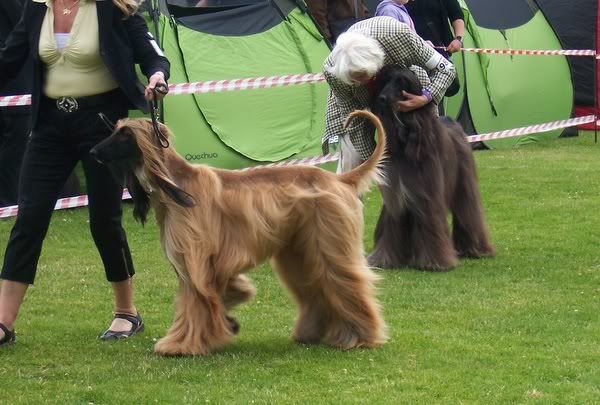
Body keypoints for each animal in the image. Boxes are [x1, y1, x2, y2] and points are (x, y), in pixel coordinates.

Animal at [90, 110, 388, 356]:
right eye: (114, 129)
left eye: (125, 134)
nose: (92, 152)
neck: (176, 185)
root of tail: (340, 179)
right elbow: (223, 292)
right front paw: (228, 317)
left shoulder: (195, 259)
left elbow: (196, 301)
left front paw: (181, 345)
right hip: (299, 248)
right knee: (314, 286)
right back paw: (314, 333)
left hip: (328, 241)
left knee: (346, 280)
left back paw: (361, 336)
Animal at [367, 64, 495, 271]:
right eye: (385, 80)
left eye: (401, 82)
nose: (382, 98)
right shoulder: (396, 195)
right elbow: (391, 225)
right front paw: (385, 259)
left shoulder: (427, 194)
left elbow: (430, 223)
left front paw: (434, 261)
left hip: (464, 184)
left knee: (468, 212)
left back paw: (476, 249)